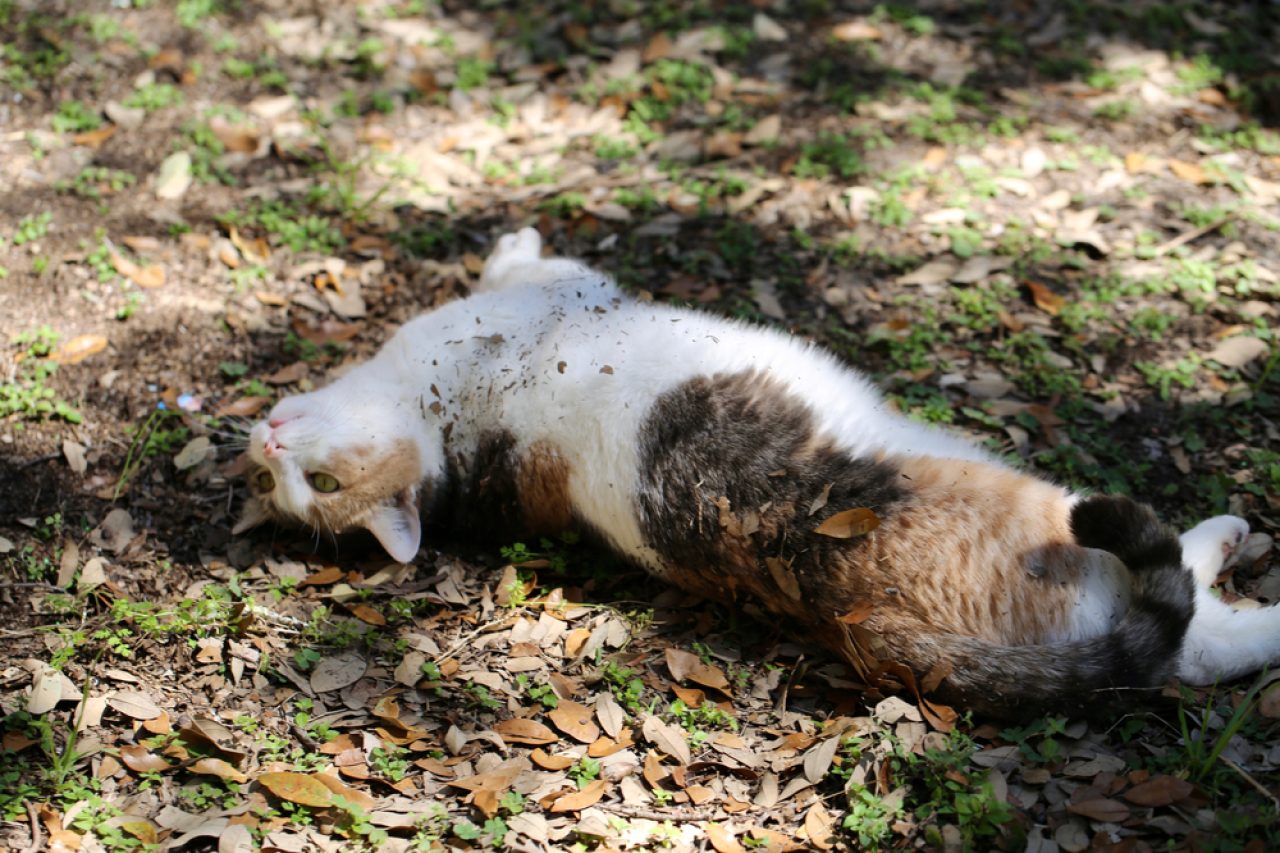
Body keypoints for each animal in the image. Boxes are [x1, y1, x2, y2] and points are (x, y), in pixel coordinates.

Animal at [235, 225, 1274, 717]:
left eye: (313, 490)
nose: (269, 451)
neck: (444, 434)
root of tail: (865, 621)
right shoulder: (557, 291)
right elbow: (527, 262)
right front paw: (513, 241)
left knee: (1187, 653)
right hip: (1060, 518)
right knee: (1183, 630)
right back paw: (1235, 553)